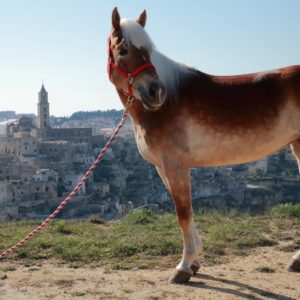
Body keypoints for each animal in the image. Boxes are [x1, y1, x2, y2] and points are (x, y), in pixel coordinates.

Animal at [108, 7, 300, 284]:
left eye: (149, 50)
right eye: (123, 50)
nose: (156, 92)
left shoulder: (175, 164)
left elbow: (183, 212)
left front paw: (184, 266)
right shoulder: (162, 168)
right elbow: (183, 210)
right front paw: (195, 262)